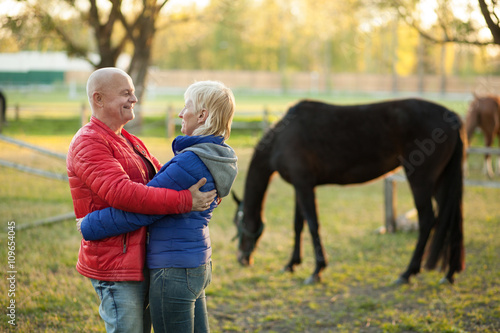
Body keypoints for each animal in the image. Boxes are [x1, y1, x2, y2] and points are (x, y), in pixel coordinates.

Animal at [232, 97, 466, 284]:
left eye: (239, 222)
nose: (242, 258)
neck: (281, 138)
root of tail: (451, 116)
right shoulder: (300, 186)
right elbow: (299, 225)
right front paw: (291, 264)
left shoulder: (304, 186)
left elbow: (313, 225)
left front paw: (317, 271)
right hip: (441, 182)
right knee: (451, 219)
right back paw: (450, 273)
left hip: (420, 180)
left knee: (427, 221)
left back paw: (407, 273)